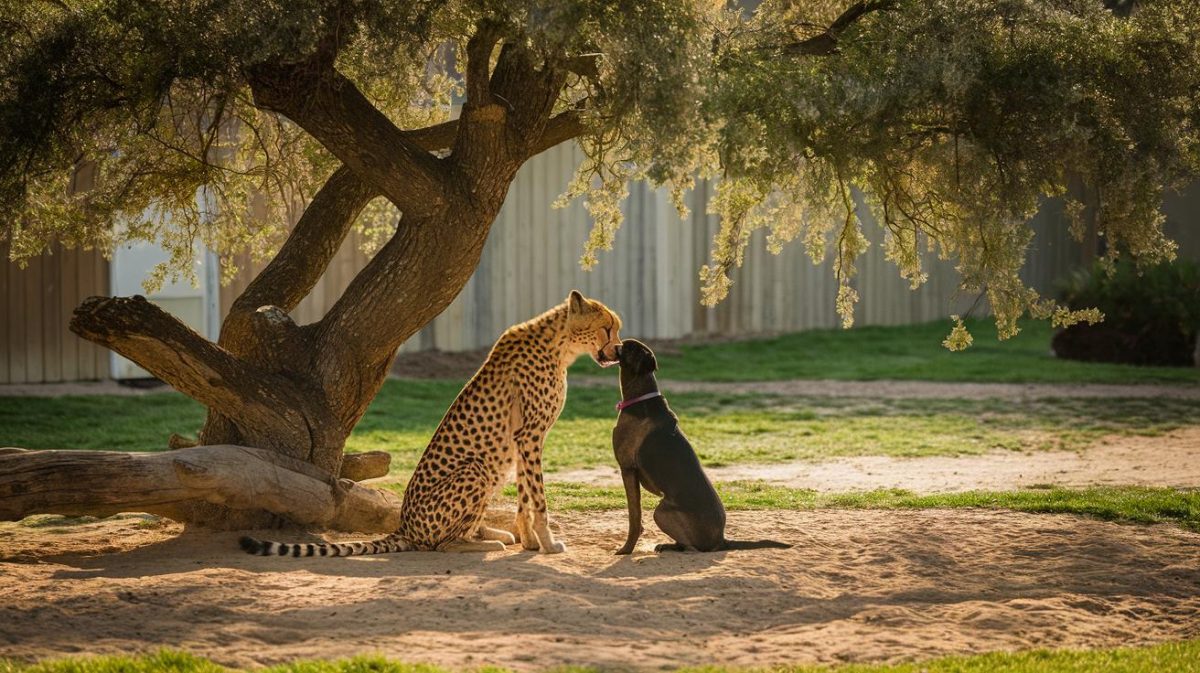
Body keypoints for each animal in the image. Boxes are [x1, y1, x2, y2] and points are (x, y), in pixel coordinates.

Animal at [240, 289, 624, 556]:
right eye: (607, 328)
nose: (619, 350)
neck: (559, 346)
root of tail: (406, 527)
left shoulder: (524, 439)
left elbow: (525, 496)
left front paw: (531, 542)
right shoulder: (529, 435)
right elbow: (538, 499)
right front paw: (547, 543)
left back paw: (490, 534)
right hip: (477, 470)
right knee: (440, 544)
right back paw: (482, 543)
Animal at [614, 338, 792, 554]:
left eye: (629, 346)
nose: (617, 343)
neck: (641, 398)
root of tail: (721, 540)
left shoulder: (628, 469)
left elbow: (634, 517)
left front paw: (626, 549)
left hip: (661, 511)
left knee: (692, 548)